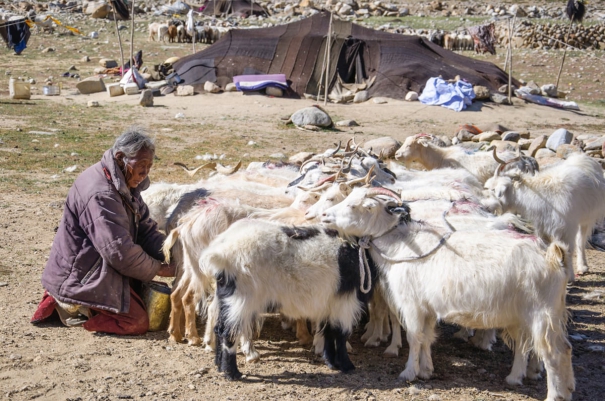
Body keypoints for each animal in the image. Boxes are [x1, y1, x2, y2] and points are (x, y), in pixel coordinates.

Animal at [320, 188, 572, 400]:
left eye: (357, 206)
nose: (324, 215)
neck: (402, 246)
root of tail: (553, 256)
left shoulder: (411, 304)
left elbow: (414, 337)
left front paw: (409, 372)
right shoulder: (428, 308)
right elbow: (427, 337)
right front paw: (426, 370)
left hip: (541, 313)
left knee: (555, 352)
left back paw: (554, 394)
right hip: (526, 314)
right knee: (530, 344)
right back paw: (518, 378)